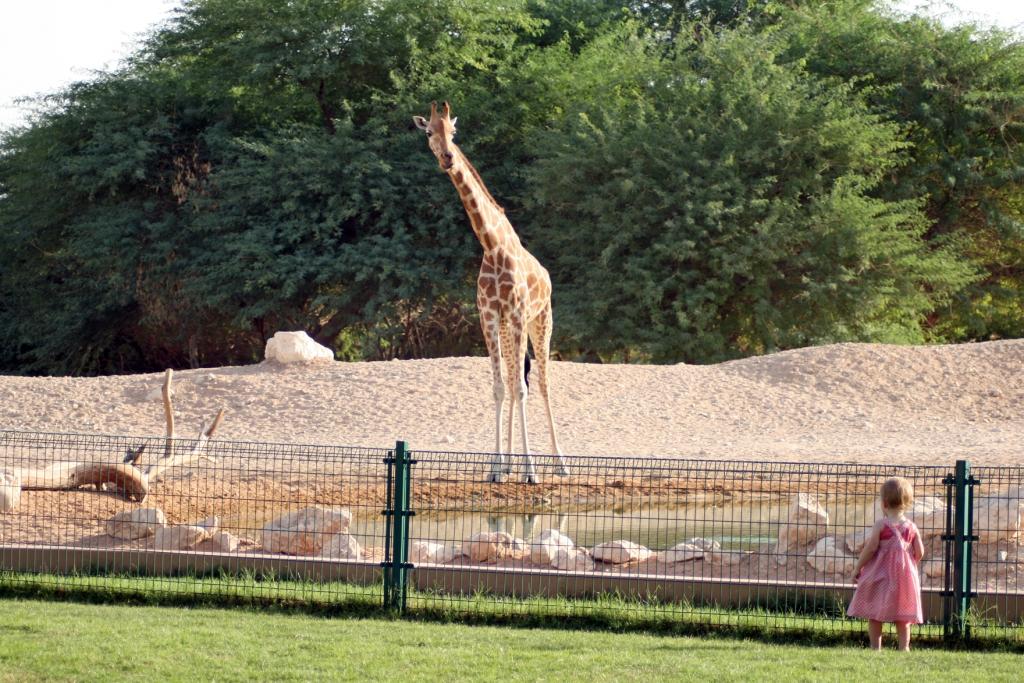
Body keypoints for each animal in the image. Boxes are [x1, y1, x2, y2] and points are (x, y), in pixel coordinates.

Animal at [413, 101, 569, 484]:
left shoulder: (516, 314)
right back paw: (511, 464)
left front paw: (530, 471)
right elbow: (501, 387)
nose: (448, 157)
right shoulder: (488, 317)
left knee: (542, 383)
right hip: (512, 330)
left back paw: (558, 463)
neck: (492, 245)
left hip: (541, 322)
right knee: (515, 380)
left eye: (454, 131)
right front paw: (496, 468)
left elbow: (523, 388)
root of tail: (547, 275)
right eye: (429, 132)